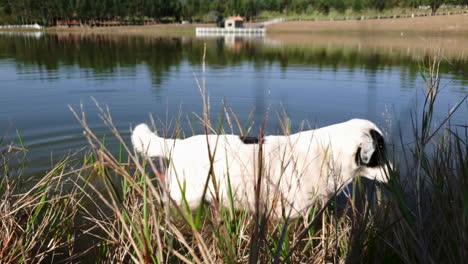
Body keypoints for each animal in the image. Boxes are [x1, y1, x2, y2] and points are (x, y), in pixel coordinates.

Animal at [131, 118, 388, 218]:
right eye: (380, 154)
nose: (393, 177)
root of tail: (178, 145)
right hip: (185, 199)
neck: (328, 152)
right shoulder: (287, 215)